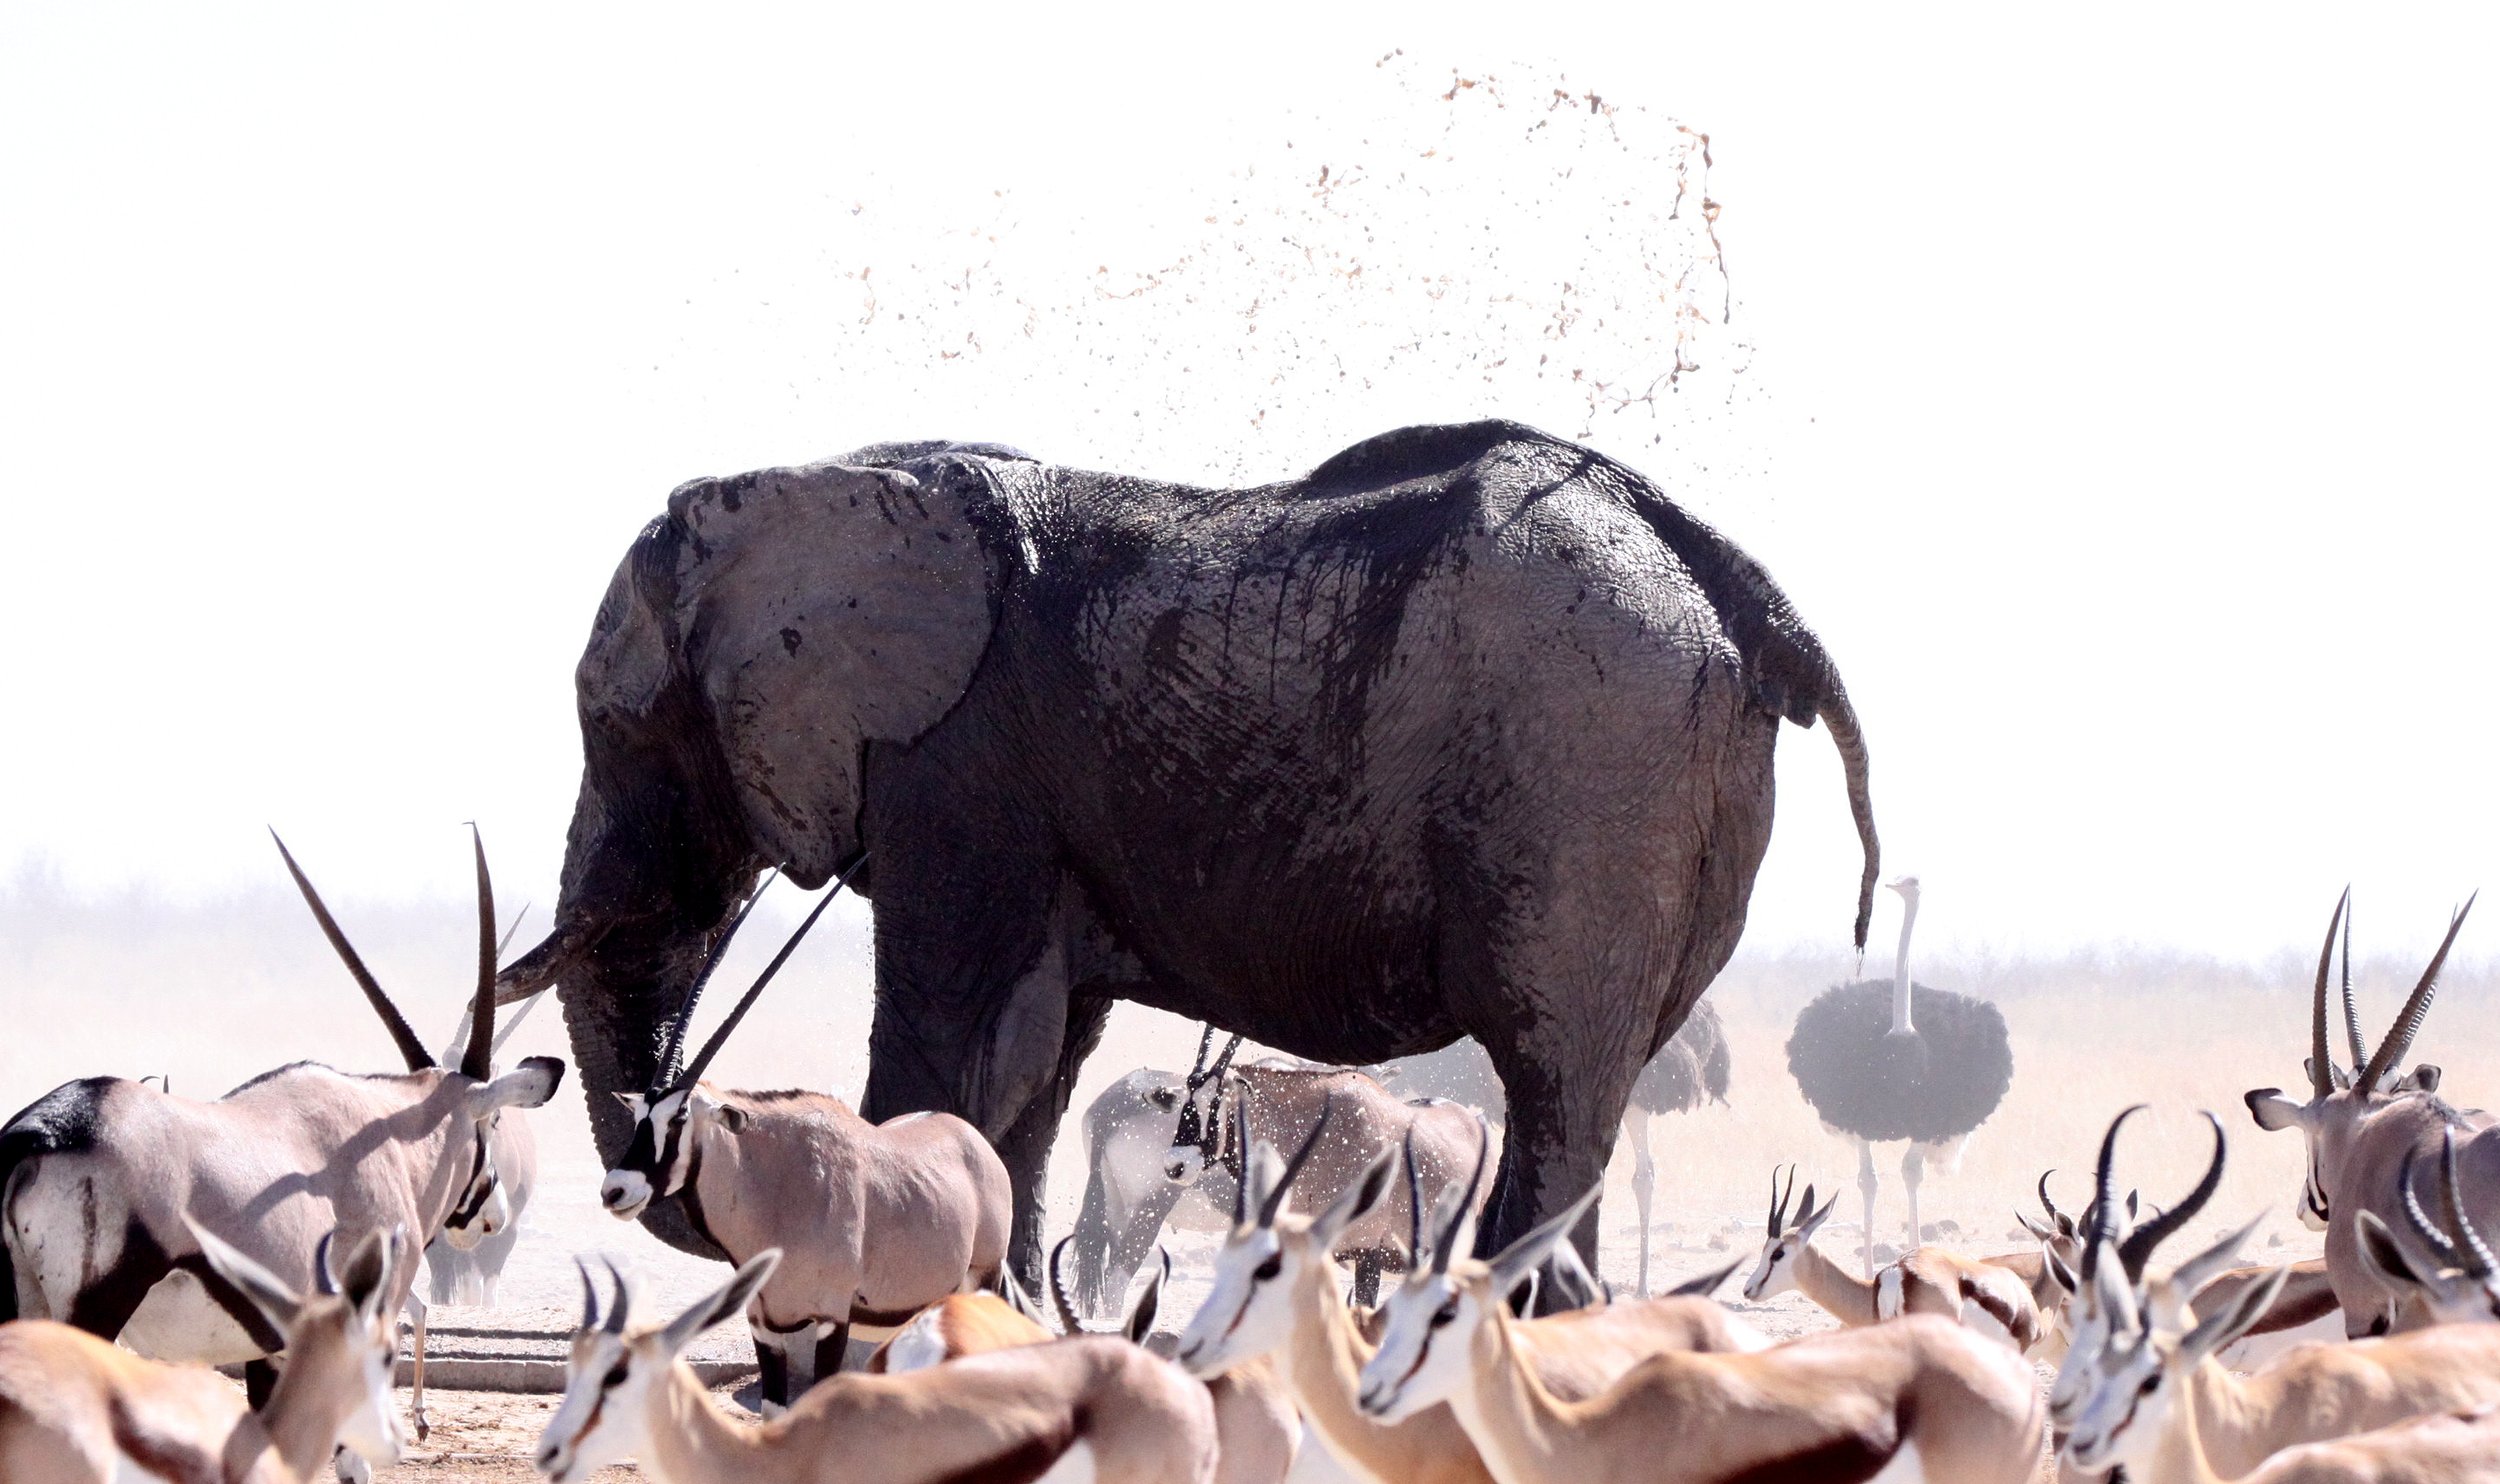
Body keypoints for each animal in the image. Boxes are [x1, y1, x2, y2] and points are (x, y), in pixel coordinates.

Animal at [497, 419, 1878, 1290]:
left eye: (619, 724)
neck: (828, 480)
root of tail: (1742, 589)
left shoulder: (959, 760)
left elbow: (958, 1039)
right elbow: (1033, 1065)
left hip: (1588, 759)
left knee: (1555, 1083)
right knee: (1588, 1089)